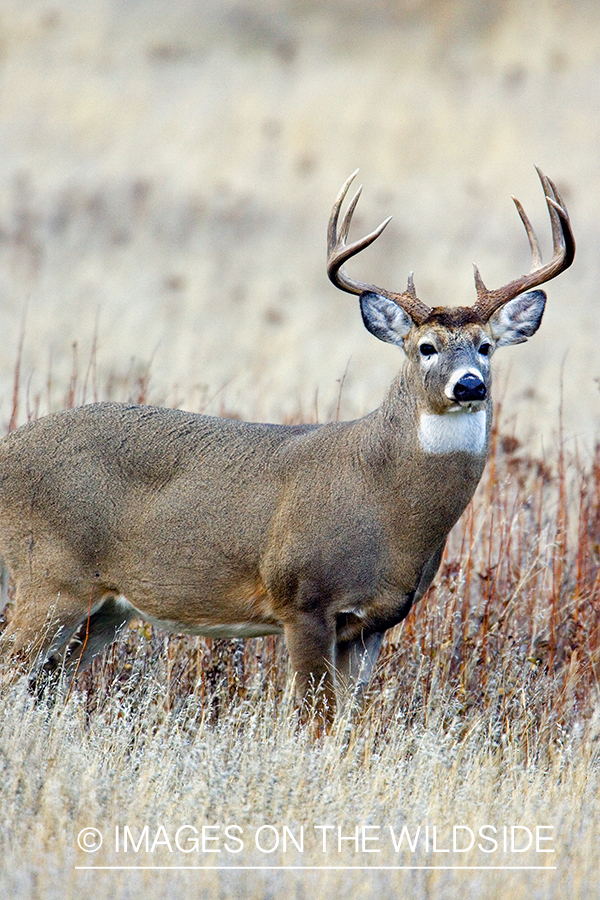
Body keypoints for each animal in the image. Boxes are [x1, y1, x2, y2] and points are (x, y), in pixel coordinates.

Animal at [0, 167, 572, 716]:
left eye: (486, 347)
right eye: (425, 347)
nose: (470, 385)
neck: (386, 503)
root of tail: (8, 448)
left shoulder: (374, 623)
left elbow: (345, 719)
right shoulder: (303, 597)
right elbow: (313, 716)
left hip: (108, 606)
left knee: (48, 681)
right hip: (48, 576)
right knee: (13, 670)